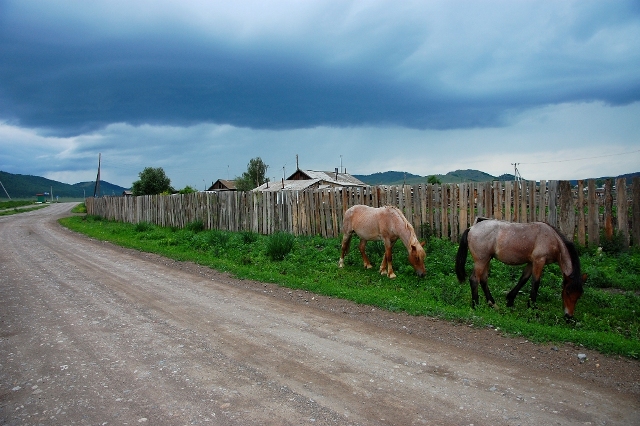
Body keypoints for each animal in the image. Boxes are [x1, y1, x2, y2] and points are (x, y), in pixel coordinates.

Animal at [456, 218, 584, 318]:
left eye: (579, 295)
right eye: (567, 292)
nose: (569, 316)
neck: (553, 239)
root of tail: (471, 228)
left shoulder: (531, 263)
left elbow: (523, 279)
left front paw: (510, 300)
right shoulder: (539, 261)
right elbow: (535, 282)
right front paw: (533, 308)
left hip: (487, 259)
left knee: (483, 280)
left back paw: (493, 304)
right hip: (481, 261)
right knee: (474, 279)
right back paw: (476, 305)